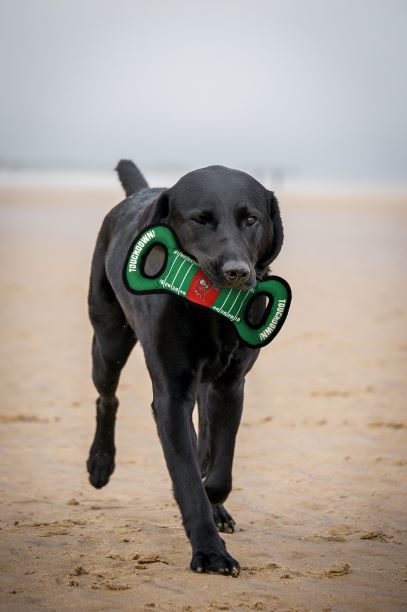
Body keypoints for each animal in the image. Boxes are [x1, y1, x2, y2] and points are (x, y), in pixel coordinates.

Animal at [87, 160, 284, 576]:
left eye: (251, 219)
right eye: (200, 220)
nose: (238, 272)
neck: (212, 313)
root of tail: (140, 193)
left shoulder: (230, 386)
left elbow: (219, 471)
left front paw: (215, 503)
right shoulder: (172, 394)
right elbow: (189, 476)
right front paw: (210, 552)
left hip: (206, 386)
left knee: (205, 438)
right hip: (108, 342)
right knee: (106, 397)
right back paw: (100, 463)